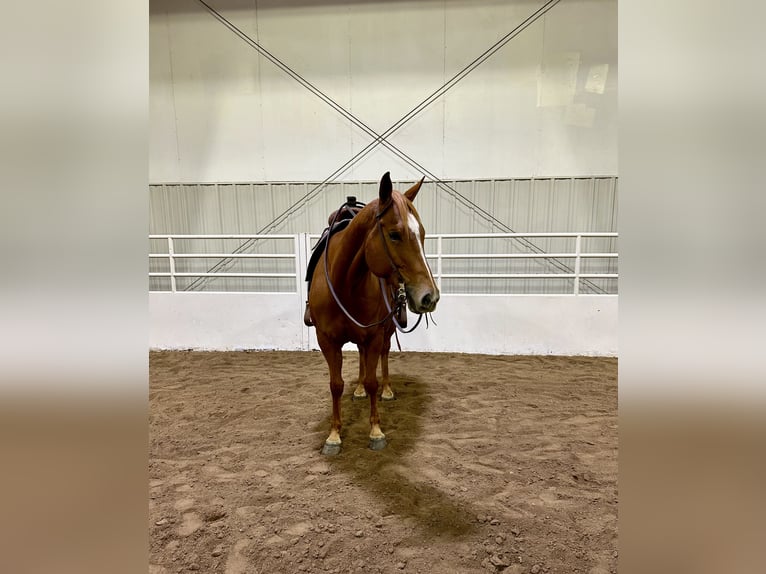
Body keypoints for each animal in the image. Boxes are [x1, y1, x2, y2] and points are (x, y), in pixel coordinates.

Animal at [304, 173, 438, 456]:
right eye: (395, 234)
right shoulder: (327, 340)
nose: (429, 296)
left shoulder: (375, 335)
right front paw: (334, 435)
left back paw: (386, 390)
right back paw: (357, 390)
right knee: (362, 358)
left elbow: (373, 380)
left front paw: (376, 431)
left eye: (421, 233)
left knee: (383, 357)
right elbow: (336, 385)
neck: (345, 283)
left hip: (386, 331)